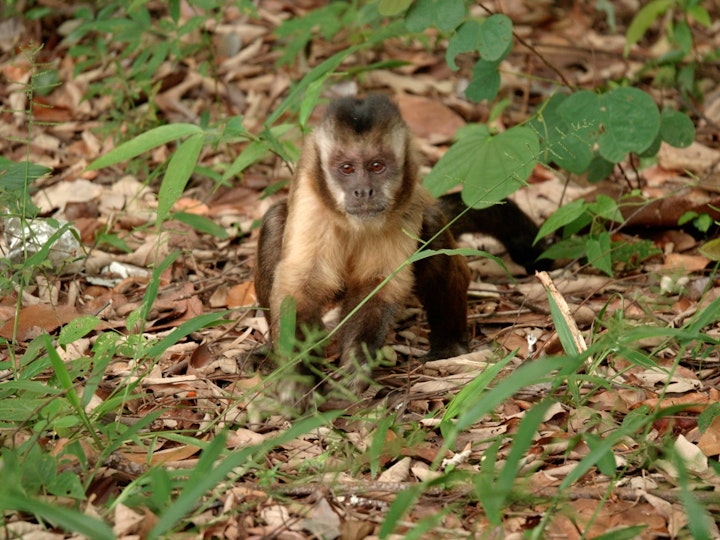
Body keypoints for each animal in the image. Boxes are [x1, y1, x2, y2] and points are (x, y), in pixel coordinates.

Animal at [256, 95, 544, 402]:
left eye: (376, 166)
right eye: (346, 168)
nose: (363, 191)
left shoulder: (406, 208)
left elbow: (380, 285)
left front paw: (355, 364)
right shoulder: (310, 196)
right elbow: (300, 286)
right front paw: (296, 376)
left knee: (434, 229)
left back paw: (450, 346)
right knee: (274, 220)